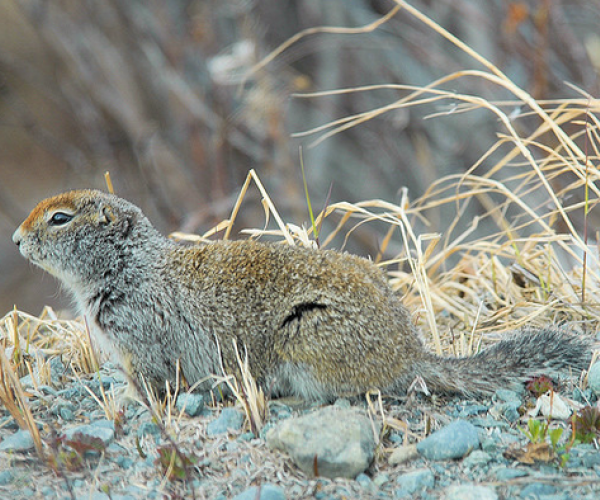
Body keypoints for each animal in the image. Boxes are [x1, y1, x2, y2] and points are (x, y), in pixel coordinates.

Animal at [12, 189, 592, 400]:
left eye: (60, 219)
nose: (15, 240)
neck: (131, 267)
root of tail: (410, 354)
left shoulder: (142, 340)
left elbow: (154, 385)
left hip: (308, 340)